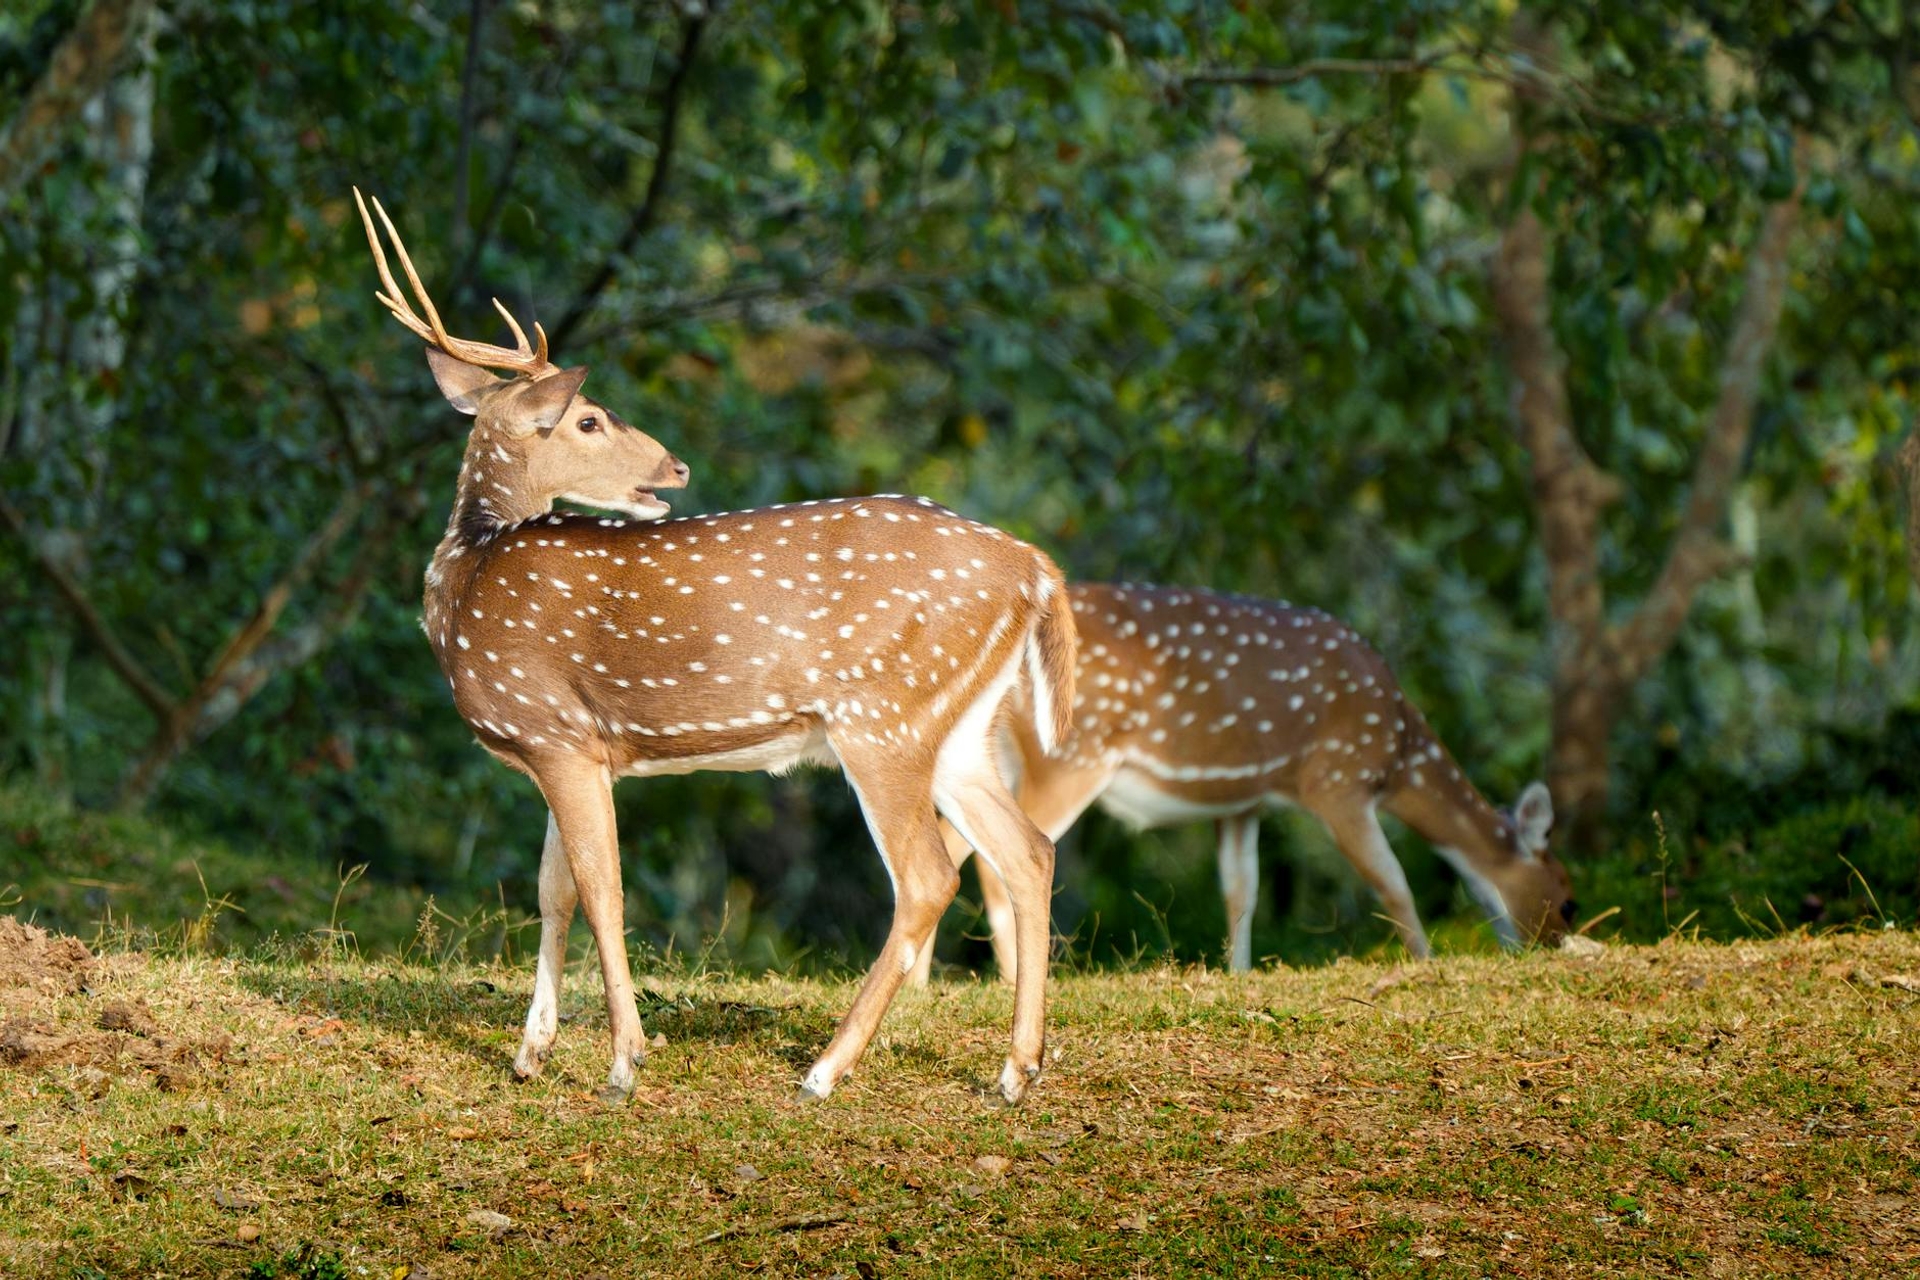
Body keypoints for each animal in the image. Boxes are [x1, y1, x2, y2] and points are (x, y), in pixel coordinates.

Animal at [354, 191, 1077, 1106]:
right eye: (588, 418)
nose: (677, 467)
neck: (470, 575)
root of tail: (1036, 568)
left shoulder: (557, 733)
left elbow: (602, 889)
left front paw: (624, 1062)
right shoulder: (566, 744)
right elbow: (555, 891)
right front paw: (531, 1052)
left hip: (883, 715)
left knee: (928, 876)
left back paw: (826, 1068)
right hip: (957, 726)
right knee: (1028, 851)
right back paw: (1017, 1070)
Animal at [911, 583, 1574, 983]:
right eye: (1569, 899)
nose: (1554, 944)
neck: (1398, 749)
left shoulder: (1241, 801)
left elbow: (1241, 890)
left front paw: (1238, 973)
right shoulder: (1337, 779)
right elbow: (1392, 881)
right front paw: (1424, 962)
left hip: (997, 754)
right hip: (1072, 755)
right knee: (994, 855)